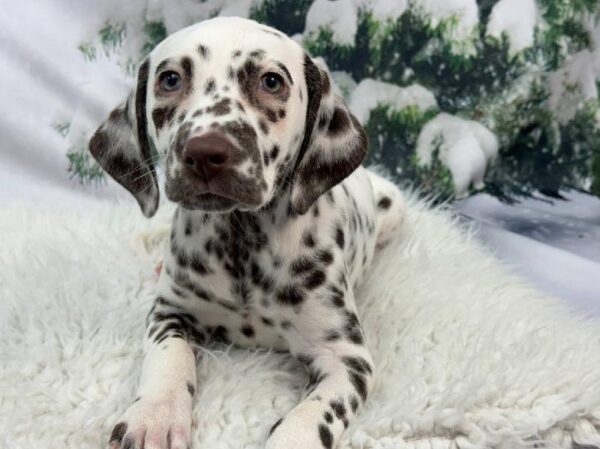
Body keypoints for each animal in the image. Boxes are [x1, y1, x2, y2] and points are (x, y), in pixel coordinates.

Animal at [90, 16, 404, 448]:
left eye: (271, 81)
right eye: (170, 79)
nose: (205, 153)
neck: (242, 241)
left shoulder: (345, 359)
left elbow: (311, 415)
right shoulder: (171, 313)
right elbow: (168, 359)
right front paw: (154, 417)